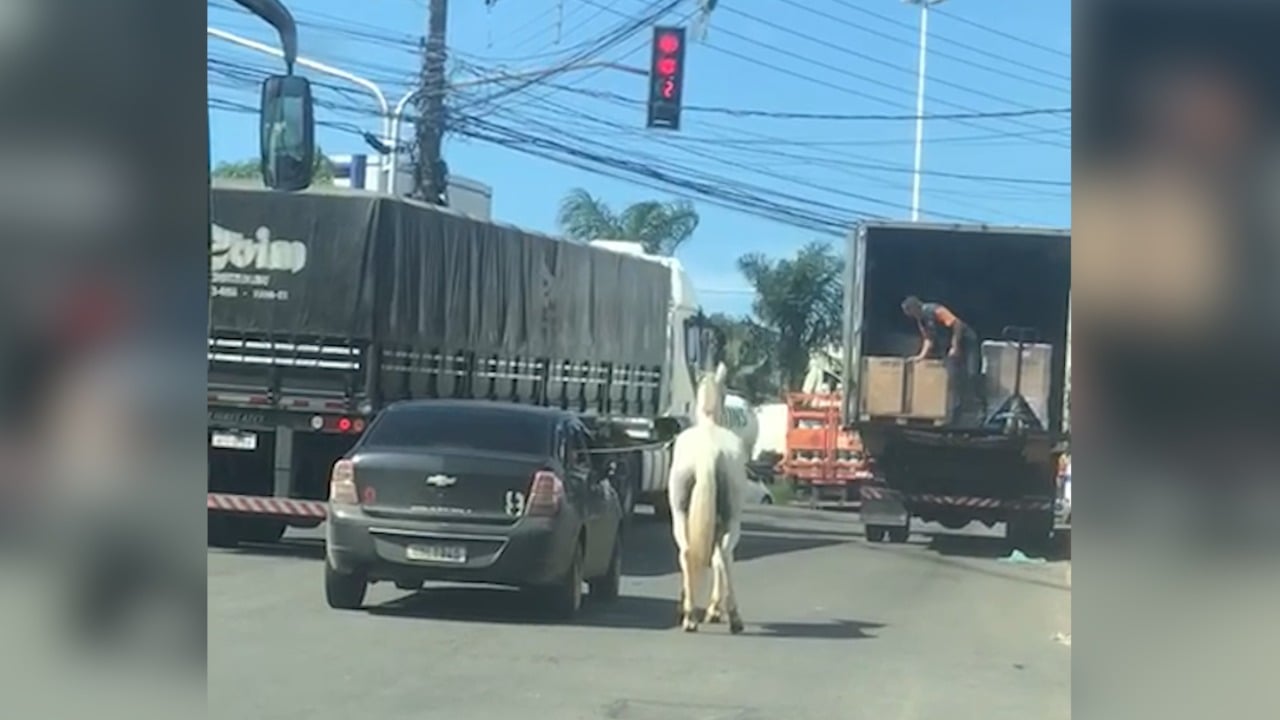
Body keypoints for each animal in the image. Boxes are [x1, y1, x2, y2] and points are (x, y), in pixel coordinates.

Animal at [665, 361, 747, 630]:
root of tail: (708, 454)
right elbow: (720, 559)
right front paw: (714, 610)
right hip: (732, 519)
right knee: (725, 554)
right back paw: (734, 617)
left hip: (679, 512)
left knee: (686, 550)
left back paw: (689, 615)